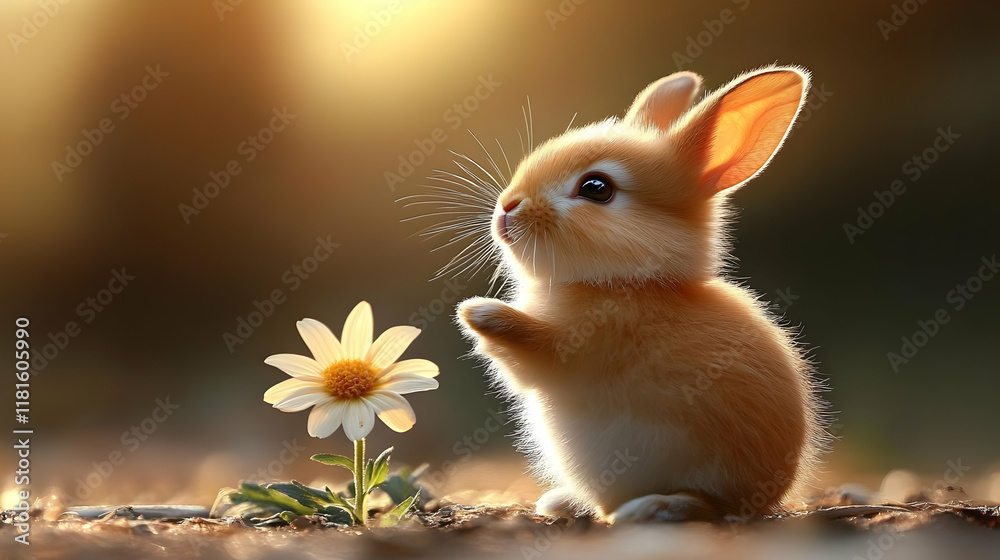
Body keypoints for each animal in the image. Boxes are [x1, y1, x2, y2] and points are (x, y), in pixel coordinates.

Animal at [455, 65, 828, 522]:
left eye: (596, 188)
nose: (508, 207)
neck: (630, 282)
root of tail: (768, 499)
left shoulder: (578, 346)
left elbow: (534, 350)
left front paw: (477, 312)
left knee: (711, 506)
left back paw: (649, 508)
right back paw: (564, 501)